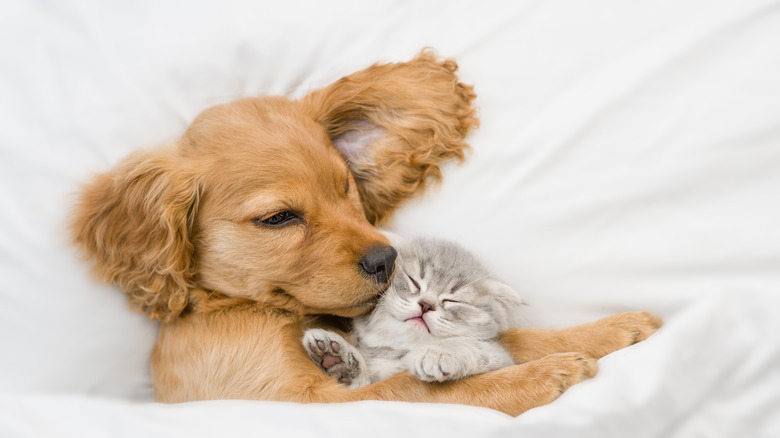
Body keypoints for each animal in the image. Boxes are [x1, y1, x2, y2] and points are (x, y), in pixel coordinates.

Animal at [300, 238, 524, 388]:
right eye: (414, 282)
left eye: (452, 300)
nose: (426, 305)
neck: (401, 354)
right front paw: (338, 359)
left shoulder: (503, 362)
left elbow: (470, 345)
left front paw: (438, 353)